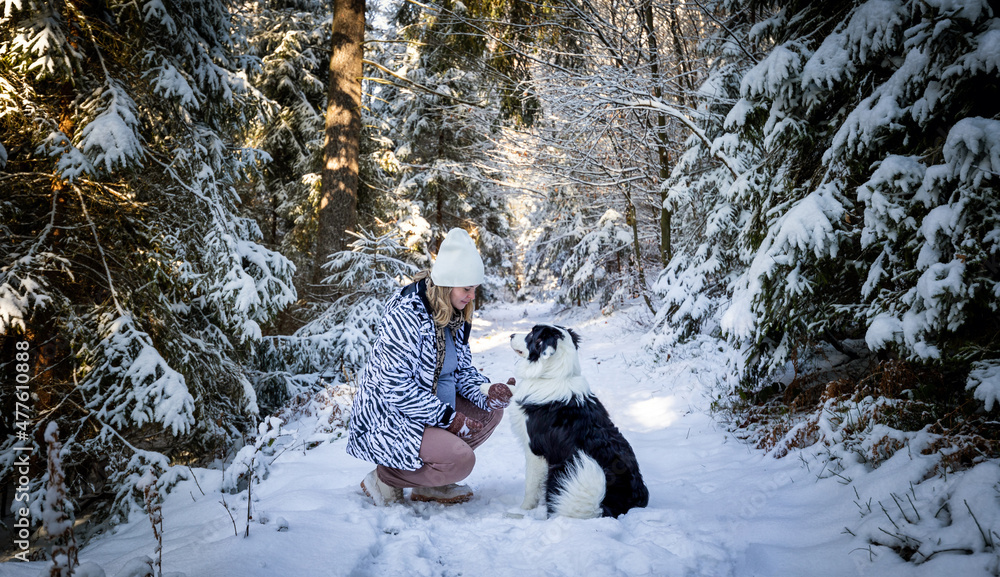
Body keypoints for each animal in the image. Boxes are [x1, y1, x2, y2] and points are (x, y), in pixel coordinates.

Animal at [508, 324, 648, 516]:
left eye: (531, 333)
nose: (511, 335)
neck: (554, 376)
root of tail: (605, 506)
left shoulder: (535, 451)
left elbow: (530, 486)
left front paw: (523, 509)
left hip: (563, 469)